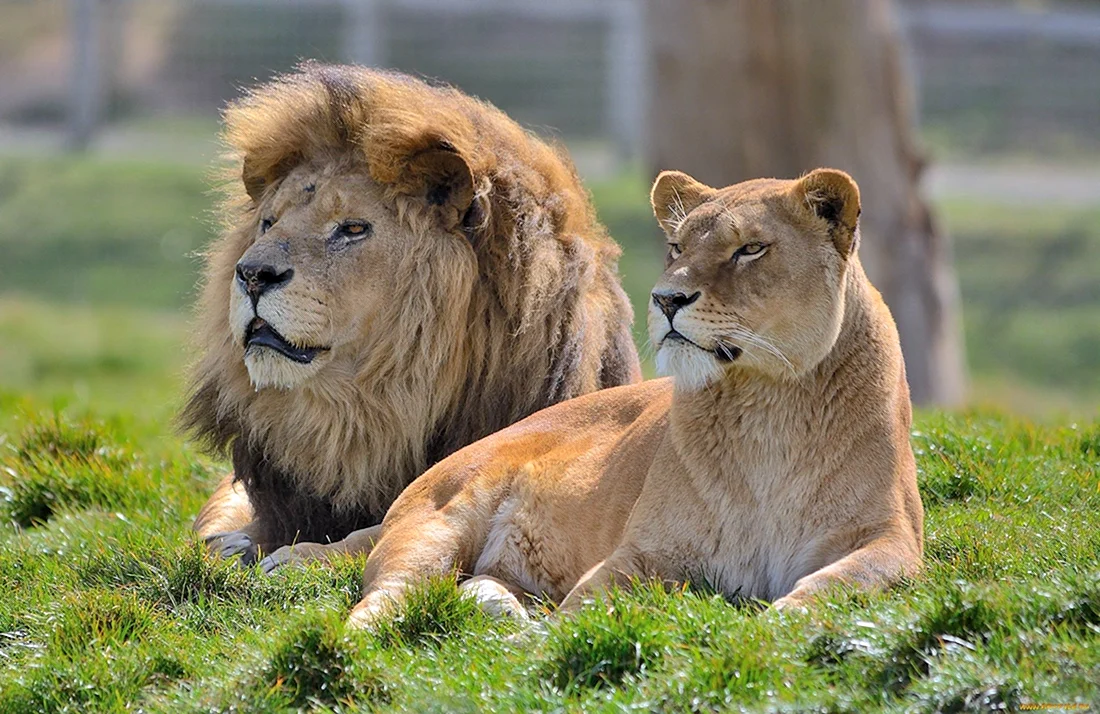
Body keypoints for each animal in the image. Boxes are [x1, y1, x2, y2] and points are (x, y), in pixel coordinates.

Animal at [182, 63, 641, 566]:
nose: (252, 275)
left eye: (352, 229)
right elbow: (215, 519)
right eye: (268, 223)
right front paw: (232, 542)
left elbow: (379, 527)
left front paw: (296, 554)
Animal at [341, 168, 924, 628]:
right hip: (434, 525)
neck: (767, 402)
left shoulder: (891, 538)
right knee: (383, 599)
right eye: (677, 248)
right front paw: (544, 643)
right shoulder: (646, 551)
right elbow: (587, 605)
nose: (665, 299)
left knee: (475, 583)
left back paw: (501, 608)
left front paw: (777, 623)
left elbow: (840, 582)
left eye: (750, 248)